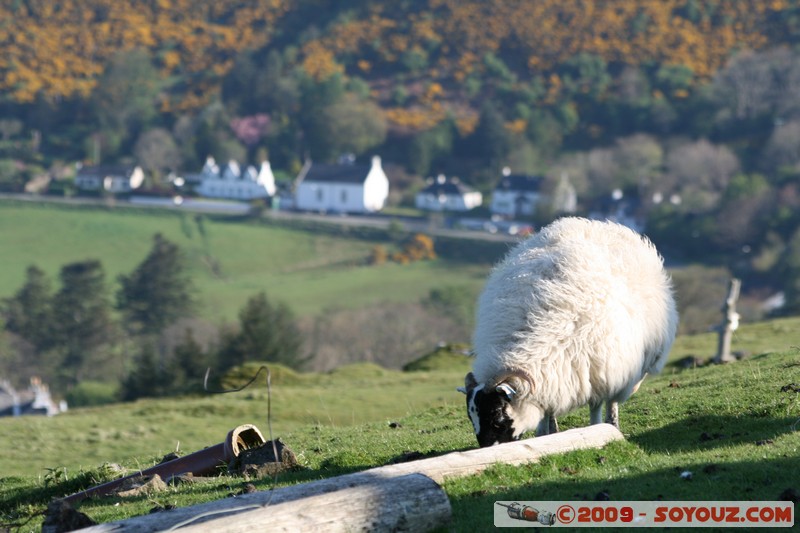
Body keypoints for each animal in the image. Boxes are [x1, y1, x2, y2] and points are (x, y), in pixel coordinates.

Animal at [460, 215, 680, 444]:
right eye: (471, 418)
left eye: (497, 416)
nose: (487, 447)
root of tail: (598, 223)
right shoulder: (554, 376)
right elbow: (548, 409)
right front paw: (547, 433)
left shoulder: (600, 370)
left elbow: (598, 404)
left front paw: (600, 428)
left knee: (611, 401)